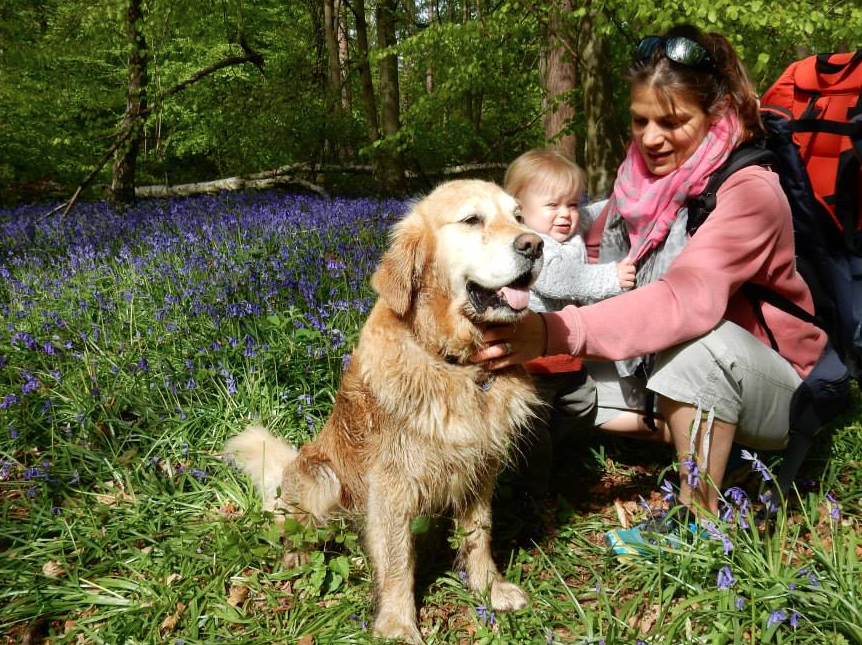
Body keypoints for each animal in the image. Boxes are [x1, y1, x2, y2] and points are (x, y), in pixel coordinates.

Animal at [226, 179, 544, 640]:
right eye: (472, 220)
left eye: (519, 216)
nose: (535, 244)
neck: (455, 361)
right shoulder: (391, 486)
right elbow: (396, 562)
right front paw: (397, 623)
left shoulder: (480, 469)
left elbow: (478, 536)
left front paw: (489, 589)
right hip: (322, 480)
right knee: (294, 530)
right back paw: (297, 559)